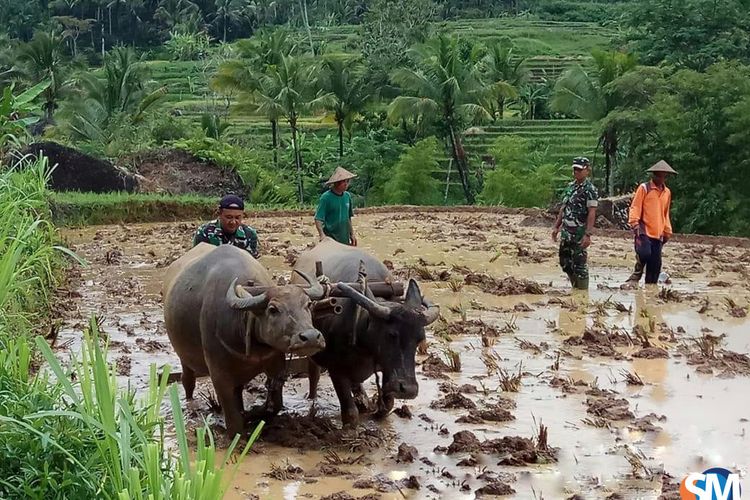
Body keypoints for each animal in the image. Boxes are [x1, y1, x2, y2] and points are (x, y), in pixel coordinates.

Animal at [163, 242, 328, 434]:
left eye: (307, 304)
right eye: (273, 309)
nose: (311, 337)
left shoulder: (275, 363)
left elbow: (275, 405)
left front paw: (253, 414)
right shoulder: (219, 374)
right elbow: (233, 421)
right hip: (184, 358)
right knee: (187, 381)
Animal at [288, 237, 440, 426]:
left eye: (419, 339)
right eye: (391, 335)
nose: (408, 390)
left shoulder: (386, 368)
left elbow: (388, 404)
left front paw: (376, 410)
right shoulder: (337, 370)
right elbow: (350, 413)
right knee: (314, 374)